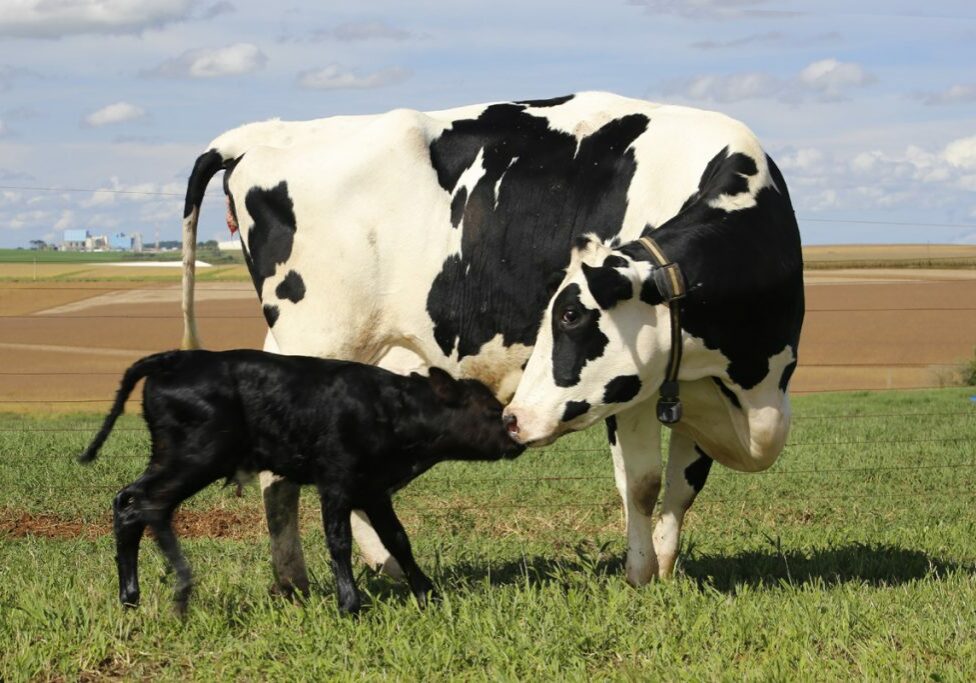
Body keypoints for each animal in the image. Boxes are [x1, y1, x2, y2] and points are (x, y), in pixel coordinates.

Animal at [179, 91, 803, 593]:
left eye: (570, 314)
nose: (515, 420)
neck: (750, 378)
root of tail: (262, 134)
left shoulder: (698, 387)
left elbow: (683, 486)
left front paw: (669, 570)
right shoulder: (637, 394)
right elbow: (644, 484)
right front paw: (641, 576)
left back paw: (376, 568)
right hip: (321, 341)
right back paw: (295, 579)